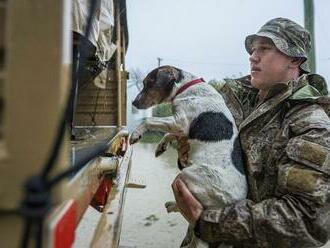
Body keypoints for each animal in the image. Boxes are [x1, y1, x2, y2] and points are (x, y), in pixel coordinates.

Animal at [130, 66, 246, 248]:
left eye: (148, 83)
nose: (133, 103)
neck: (187, 87)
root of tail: (233, 203)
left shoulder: (180, 122)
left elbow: (149, 120)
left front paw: (136, 133)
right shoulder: (179, 127)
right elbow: (169, 134)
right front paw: (161, 146)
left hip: (187, 176)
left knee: (192, 209)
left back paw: (173, 205)